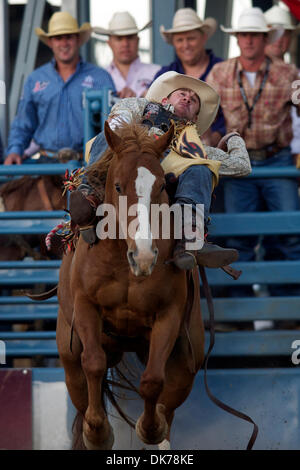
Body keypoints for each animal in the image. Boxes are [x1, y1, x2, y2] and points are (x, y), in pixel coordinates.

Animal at [57, 122, 205, 452]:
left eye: (161, 185)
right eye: (118, 186)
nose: (144, 255)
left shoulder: (169, 314)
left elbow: (152, 380)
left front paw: (150, 428)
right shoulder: (85, 305)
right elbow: (94, 363)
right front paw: (98, 432)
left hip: (188, 358)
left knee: (168, 399)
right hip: (68, 354)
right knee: (82, 383)